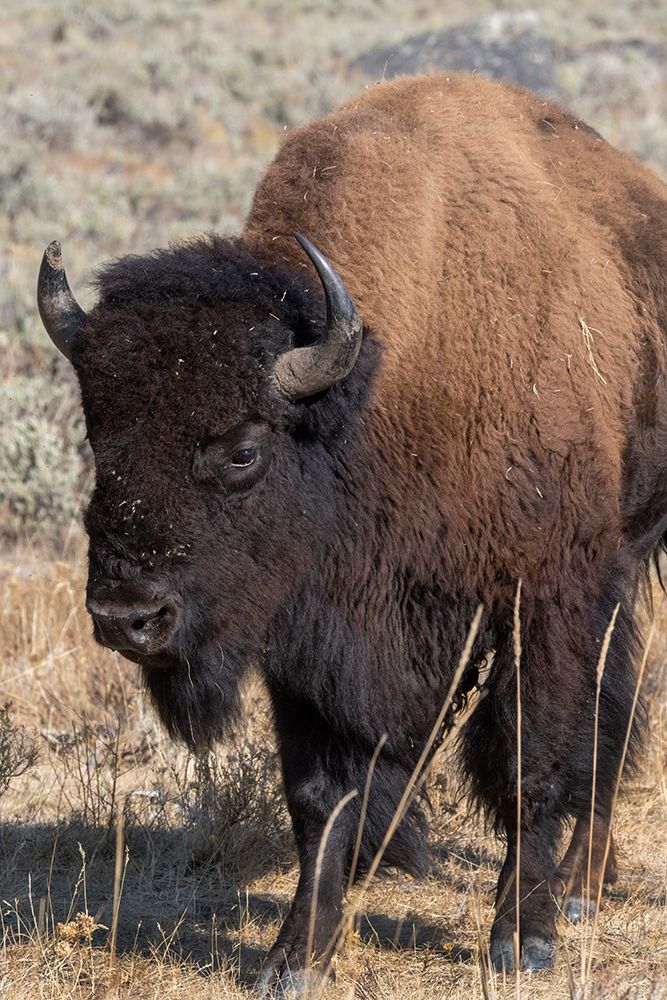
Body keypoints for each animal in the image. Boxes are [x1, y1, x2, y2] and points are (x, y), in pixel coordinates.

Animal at [39, 74, 664, 988]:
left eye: (243, 450)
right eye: (97, 436)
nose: (127, 617)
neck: (375, 390)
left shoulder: (541, 603)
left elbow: (529, 764)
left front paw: (522, 940)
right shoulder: (304, 631)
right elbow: (320, 798)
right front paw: (293, 958)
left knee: (609, 715)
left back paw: (576, 890)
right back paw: (584, 881)